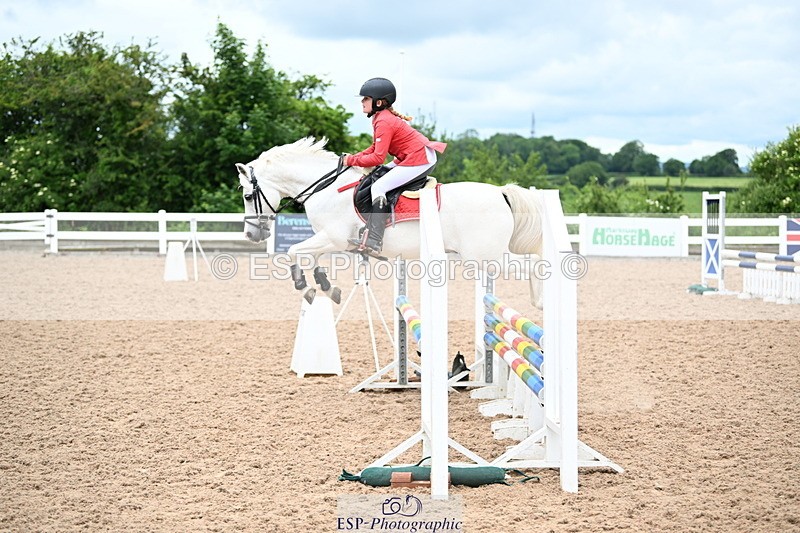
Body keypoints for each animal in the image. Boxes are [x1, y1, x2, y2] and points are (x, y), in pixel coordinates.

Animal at [235, 137, 544, 307]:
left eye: (248, 195)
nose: (251, 235)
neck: (326, 187)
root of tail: (501, 193)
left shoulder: (334, 236)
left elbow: (293, 251)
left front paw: (306, 287)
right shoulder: (330, 239)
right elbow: (310, 256)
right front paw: (326, 286)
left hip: (486, 257)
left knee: (533, 266)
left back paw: (540, 303)